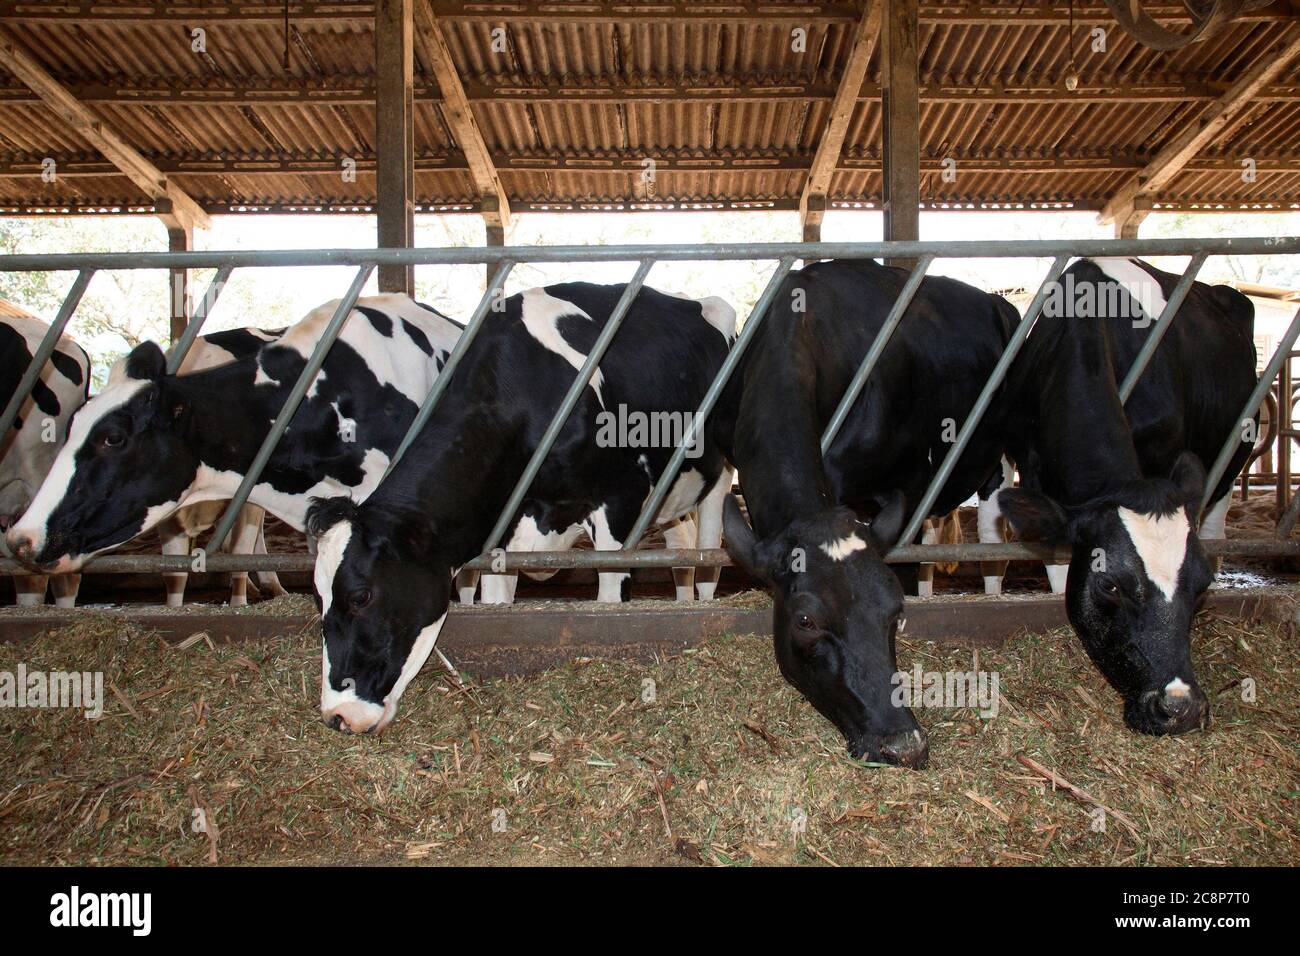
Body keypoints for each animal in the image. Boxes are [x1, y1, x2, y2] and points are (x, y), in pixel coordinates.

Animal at [306, 282, 737, 735]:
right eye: (318, 598)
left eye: (360, 596)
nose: (338, 715)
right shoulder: (505, 528)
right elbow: (498, 602)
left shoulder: (620, 501)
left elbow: (609, 600)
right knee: (682, 548)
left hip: (718, 471)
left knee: (707, 553)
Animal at [983, 257, 1256, 737]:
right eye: (1110, 584)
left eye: (1201, 583)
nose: (1180, 708)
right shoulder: (1033, 467)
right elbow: (1059, 566)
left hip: (1234, 455)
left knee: (1216, 521)